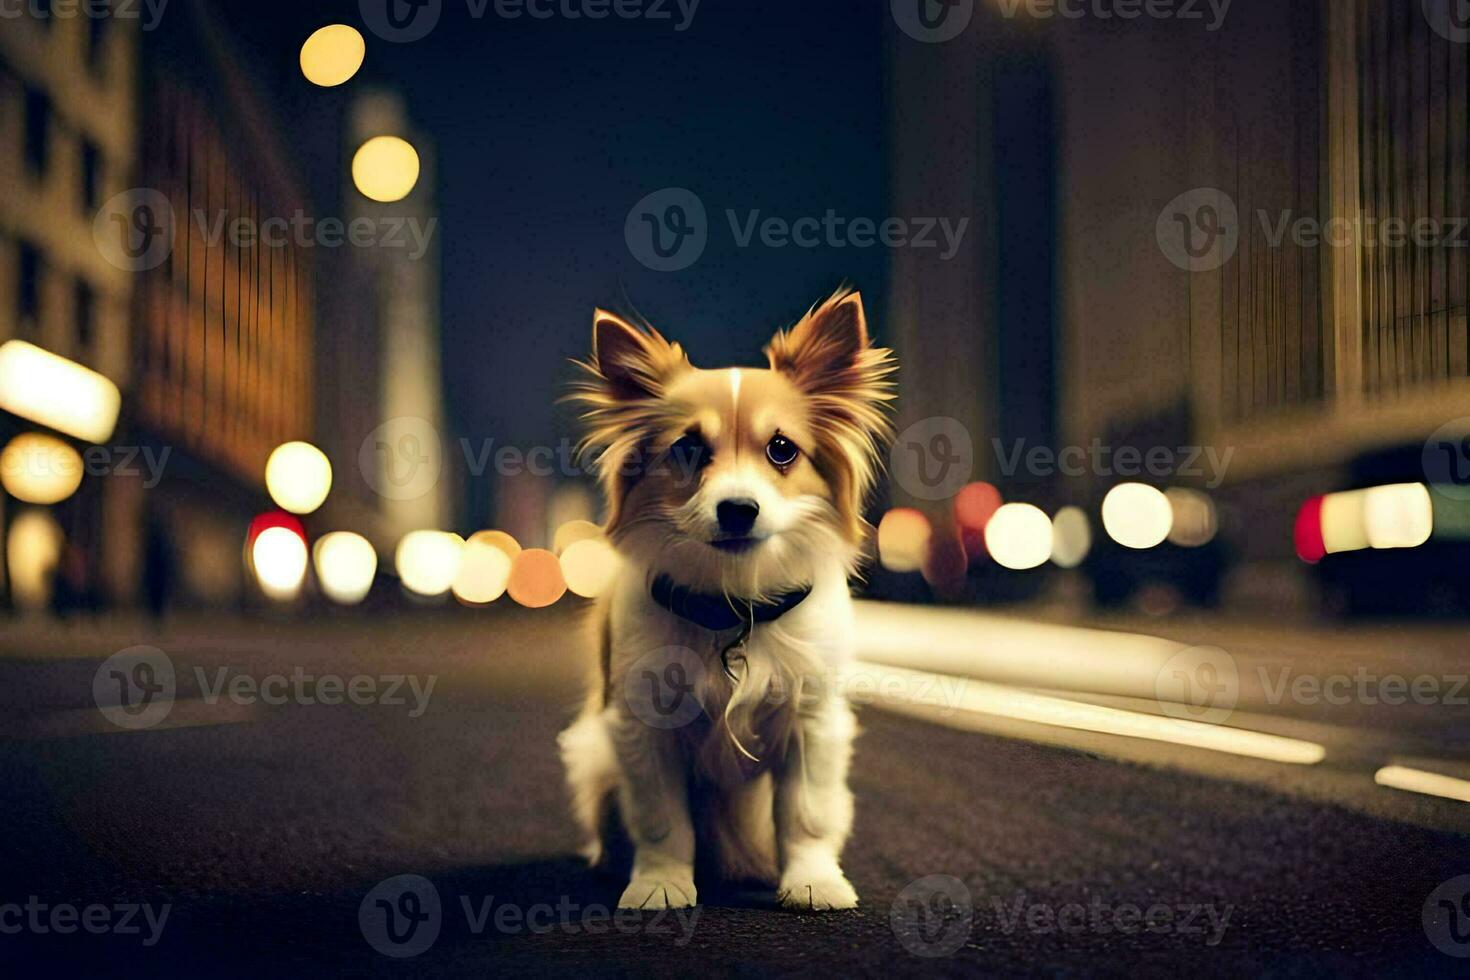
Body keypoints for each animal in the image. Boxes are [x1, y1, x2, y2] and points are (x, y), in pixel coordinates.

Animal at [552, 289, 887, 910]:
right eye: (688, 449)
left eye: (781, 449)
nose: (738, 509)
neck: (733, 604)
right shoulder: (643, 728)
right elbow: (662, 821)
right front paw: (660, 885)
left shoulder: (812, 723)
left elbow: (805, 816)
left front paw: (813, 882)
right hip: (596, 756)